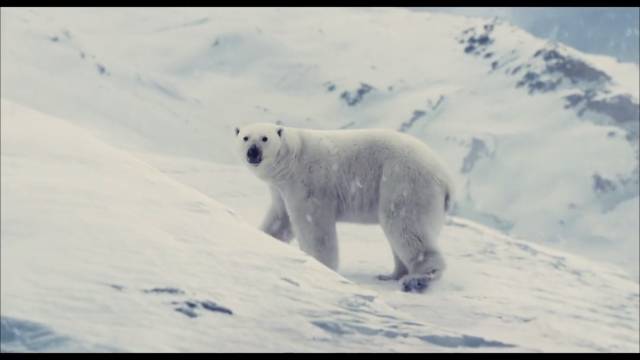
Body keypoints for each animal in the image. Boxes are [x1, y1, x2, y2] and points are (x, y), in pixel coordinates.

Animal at [235, 124, 456, 292]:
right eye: (245, 137)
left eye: (264, 138)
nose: (253, 152)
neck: (293, 157)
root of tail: (445, 177)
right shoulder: (281, 190)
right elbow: (280, 219)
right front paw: (264, 239)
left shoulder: (309, 184)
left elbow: (314, 226)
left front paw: (322, 265)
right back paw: (391, 275)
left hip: (404, 183)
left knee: (406, 225)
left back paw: (418, 278)